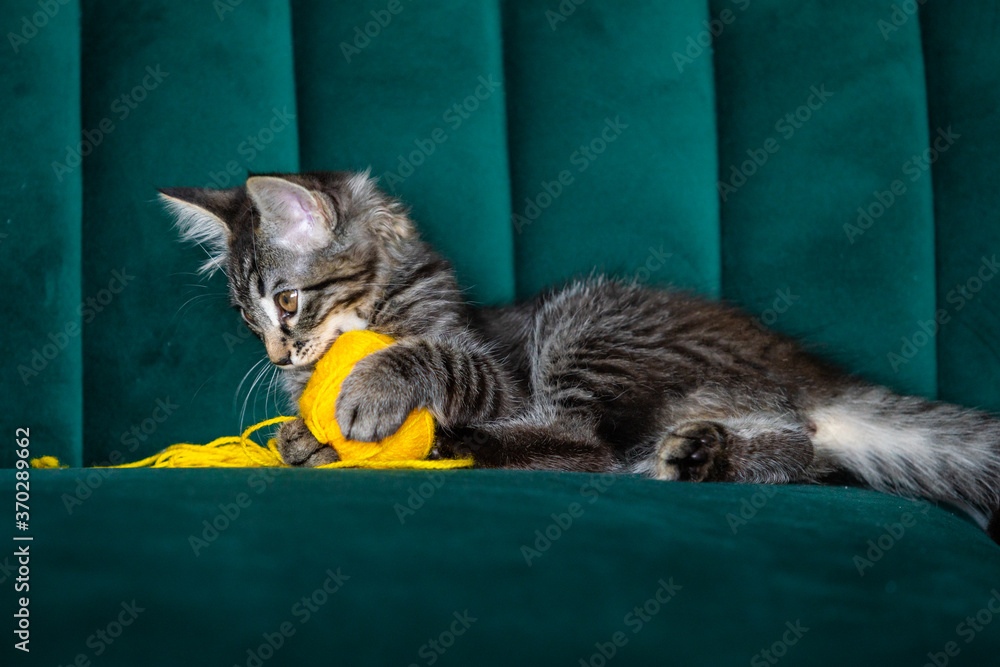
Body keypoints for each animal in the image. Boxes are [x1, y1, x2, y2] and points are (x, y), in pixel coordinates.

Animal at [160, 172, 1000, 544]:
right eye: (246, 316)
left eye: (287, 301)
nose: (278, 352)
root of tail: (810, 372)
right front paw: (299, 436)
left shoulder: (494, 367)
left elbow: (433, 358)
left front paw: (362, 395)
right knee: (795, 450)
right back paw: (696, 454)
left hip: (584, 329)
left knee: (587, 446)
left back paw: (464, 443)